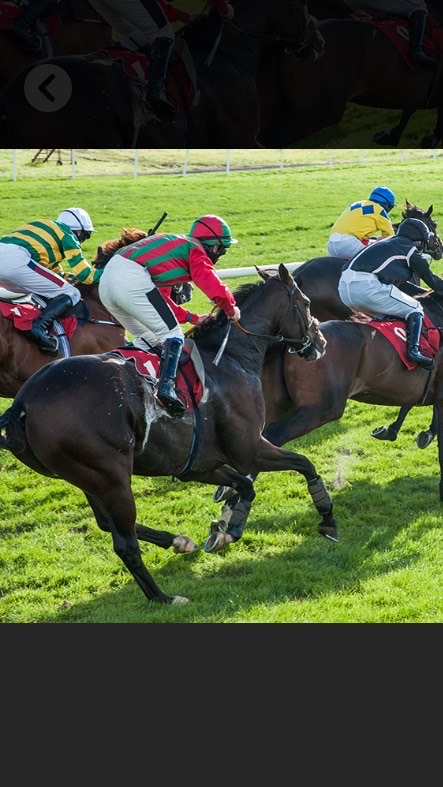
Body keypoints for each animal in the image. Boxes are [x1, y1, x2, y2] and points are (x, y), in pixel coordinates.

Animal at [0, 268, 330, 608]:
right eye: (306, 303)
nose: (320, 341)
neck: (229, 357)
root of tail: (23, 404)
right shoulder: (249, 449)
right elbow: (304, 464)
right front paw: (326, 515)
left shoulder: (197, 463)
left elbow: (245, 486)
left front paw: (228, 528)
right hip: (112, 479)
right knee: (124, 544)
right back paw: (163, 597)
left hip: (84, 477)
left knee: (106, 523)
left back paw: (179, 541)